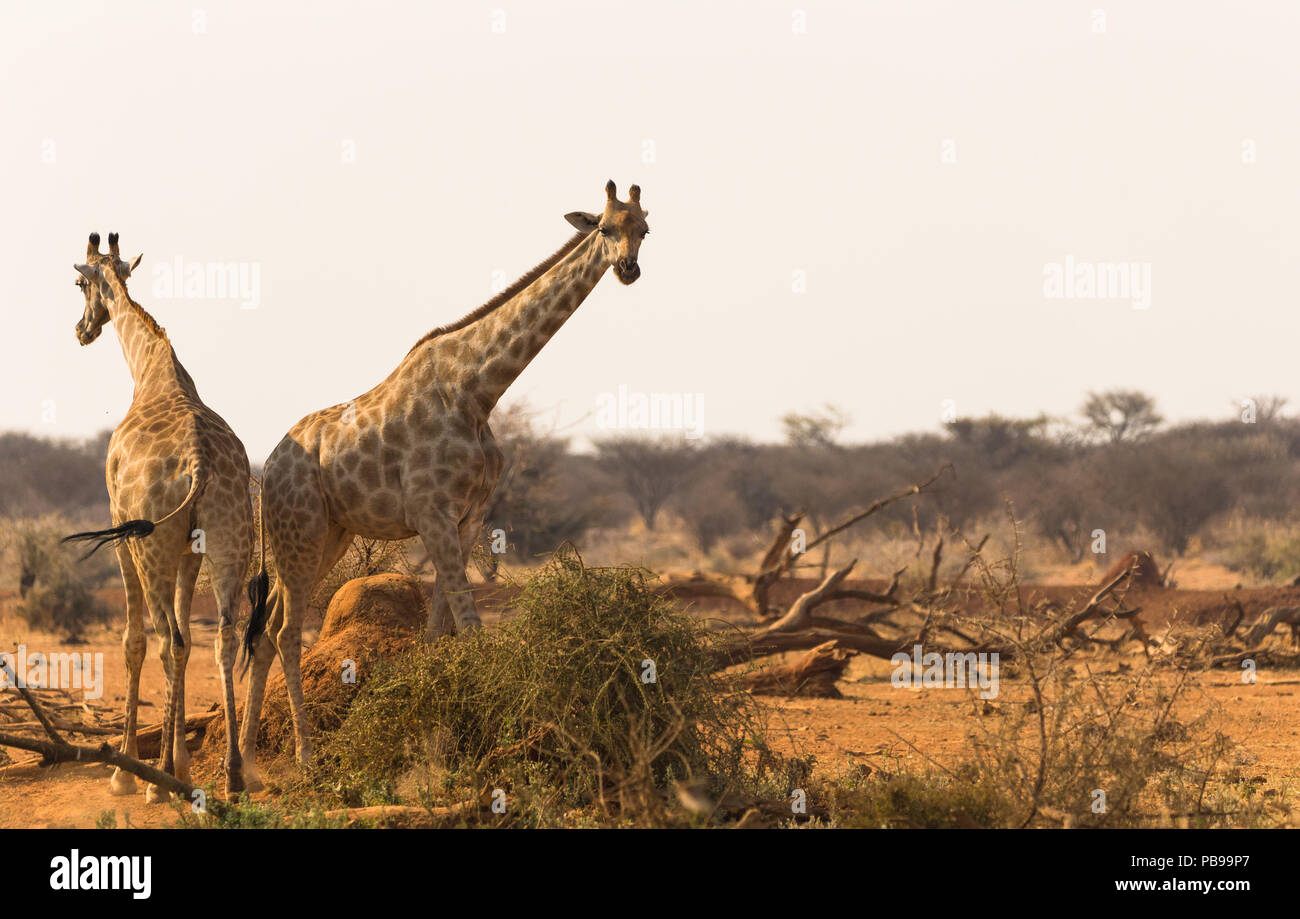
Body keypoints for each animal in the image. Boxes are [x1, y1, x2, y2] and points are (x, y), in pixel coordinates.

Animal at [64, 233, 263, 800]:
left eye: (80, 283)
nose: (82, 330)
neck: (152, 370)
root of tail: (197, 458)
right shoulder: (190, 550)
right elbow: (188, 639)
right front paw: (179, 767)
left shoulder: (120, 526)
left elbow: (134, 642)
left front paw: (126, 772)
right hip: (230, 538)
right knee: (221, 635)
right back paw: (231, 775)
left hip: (149, 546)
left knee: (163, 636)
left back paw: (156, 780)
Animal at [240, 181, 650, 785]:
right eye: (603, 227)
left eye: (643, 228)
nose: (627, 269)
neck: (478, 389)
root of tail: (268, 468)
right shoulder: (431, 513)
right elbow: (471, 625)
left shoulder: (465, 517)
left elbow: (439, 630)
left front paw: (429, 739)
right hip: (301, 531)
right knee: (286, 632)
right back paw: (306, 759)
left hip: (329, 534)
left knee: (266, 628)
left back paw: (244, 762)